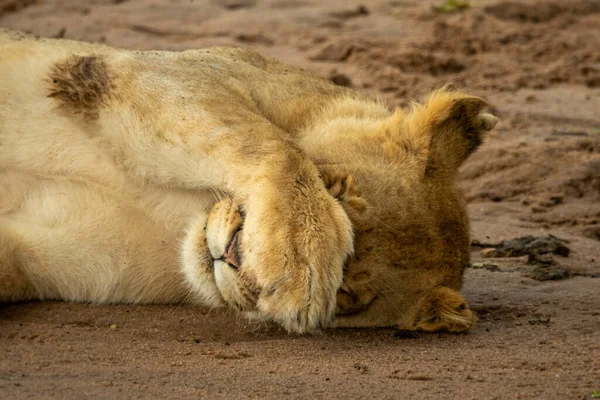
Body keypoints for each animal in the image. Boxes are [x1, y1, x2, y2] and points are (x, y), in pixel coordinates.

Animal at [0, 28, 496, 334]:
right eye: (330, 190)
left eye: (345, 293)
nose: (234, 254)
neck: (176, 218)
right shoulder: (171, 73)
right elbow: (271, 143)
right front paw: (298, 255)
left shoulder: (41, 254)